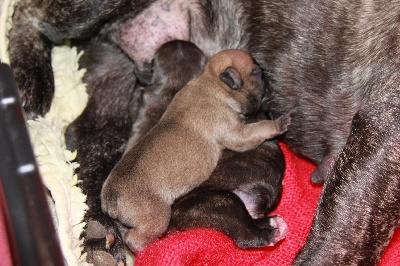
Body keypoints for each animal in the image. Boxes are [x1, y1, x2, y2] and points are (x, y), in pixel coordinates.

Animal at [99, 50, 288, 254]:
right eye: (257, 73)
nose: (268, 76)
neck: (212, 82)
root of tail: (111, 197)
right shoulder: (237, 133)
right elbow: (258, 129)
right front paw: (279, 124)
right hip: (163, 215)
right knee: (135, 239)